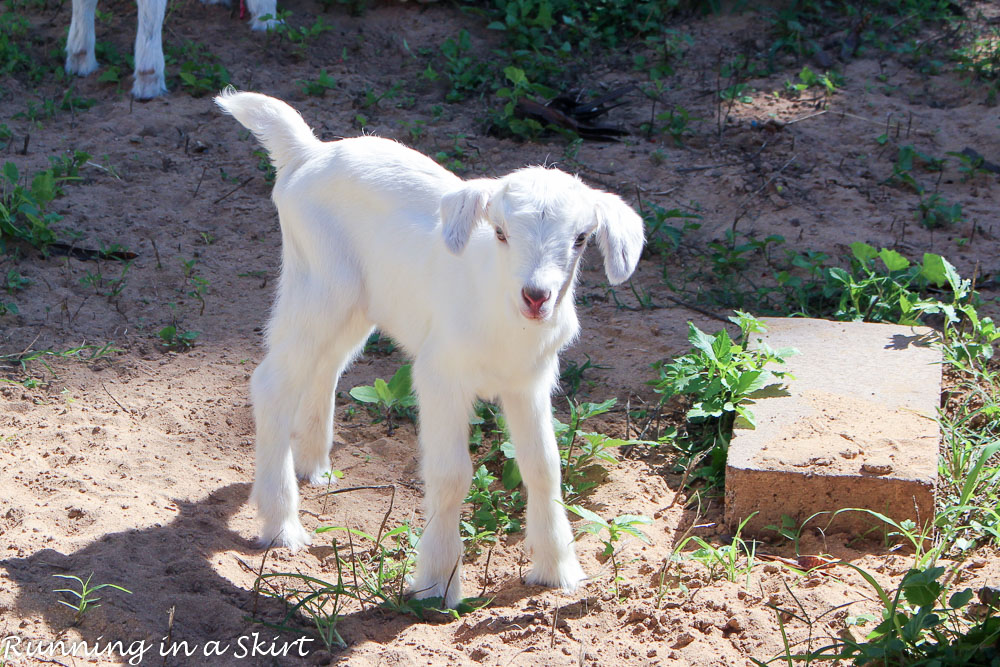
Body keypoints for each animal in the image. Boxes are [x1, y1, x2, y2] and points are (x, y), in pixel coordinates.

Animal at [215, 91, 644, 608]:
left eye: (581, 239)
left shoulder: (529, 381)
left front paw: (557, 569)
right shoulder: (440, 375)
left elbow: (544, 466)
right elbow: (452, 474)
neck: (497, 308)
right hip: (320, 283)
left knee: (325, 366)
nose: (536, 297)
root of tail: (307, 152)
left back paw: (313, 467)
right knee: (273, 382)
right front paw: (438, 583)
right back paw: (282, 525)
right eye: (500, 232)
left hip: (357, 302)